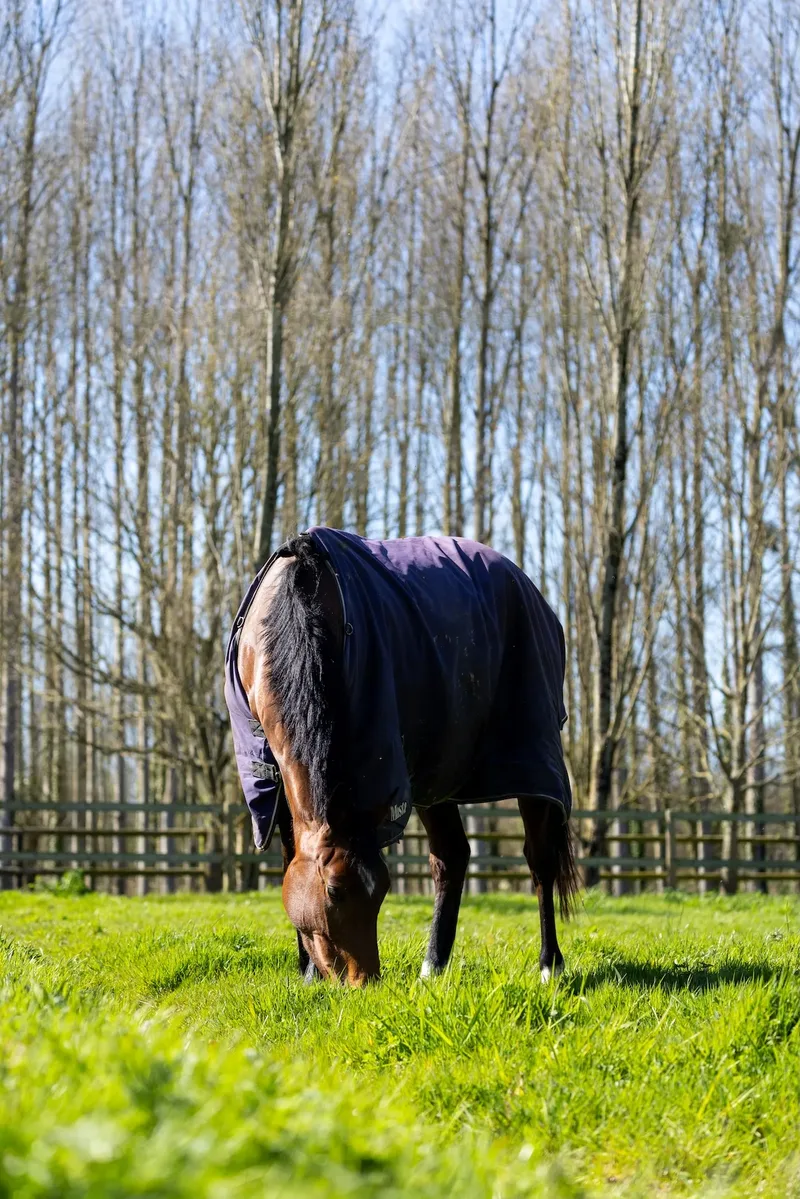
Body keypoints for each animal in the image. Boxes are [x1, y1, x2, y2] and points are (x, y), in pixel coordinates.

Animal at [225, 528, 578, 986]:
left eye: (382, 890)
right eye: (334, 891)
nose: (365, 981)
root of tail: (527, 585)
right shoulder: (273, 774)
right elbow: (290, 855)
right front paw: (307, 972)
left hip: (531, 760)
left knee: (539, 861)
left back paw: (549, 965)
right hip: (437, 770)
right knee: (452, 857)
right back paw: (433, 967)